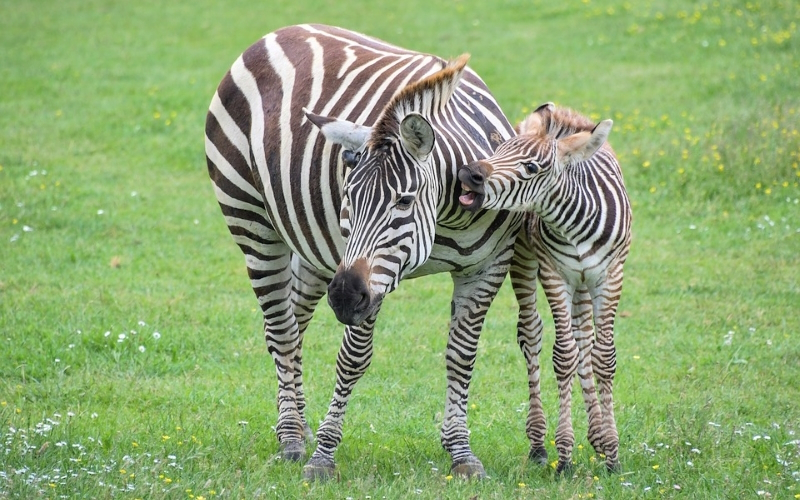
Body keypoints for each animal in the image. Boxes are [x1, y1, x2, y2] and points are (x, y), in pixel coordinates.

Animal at [205, 24, 536, 480]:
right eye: (348, 197)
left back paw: (296, 425)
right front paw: (323, 457)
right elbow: (353, 360)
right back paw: (292, 438)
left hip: (314, 251)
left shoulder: (487, 267)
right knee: (282, 332)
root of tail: (281, 31)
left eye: (404, 200)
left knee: (295, 320)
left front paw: (461, 453)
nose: (345, 297)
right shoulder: (369, 281)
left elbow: (461, 357)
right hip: (251, 220)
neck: (449, 215)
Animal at [456, 102, 632, 472]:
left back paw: (596, 434)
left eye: (531, 167)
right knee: (532, 333)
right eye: (497, 152)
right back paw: (539, 444)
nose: (467, 174)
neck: (575, 222)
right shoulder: (554, 273)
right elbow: (564, 356)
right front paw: (564, 455)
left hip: (584, 282)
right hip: (524, 257)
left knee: (585, 338)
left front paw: (611, 451)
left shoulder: (611, 275)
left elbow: (603, 356)